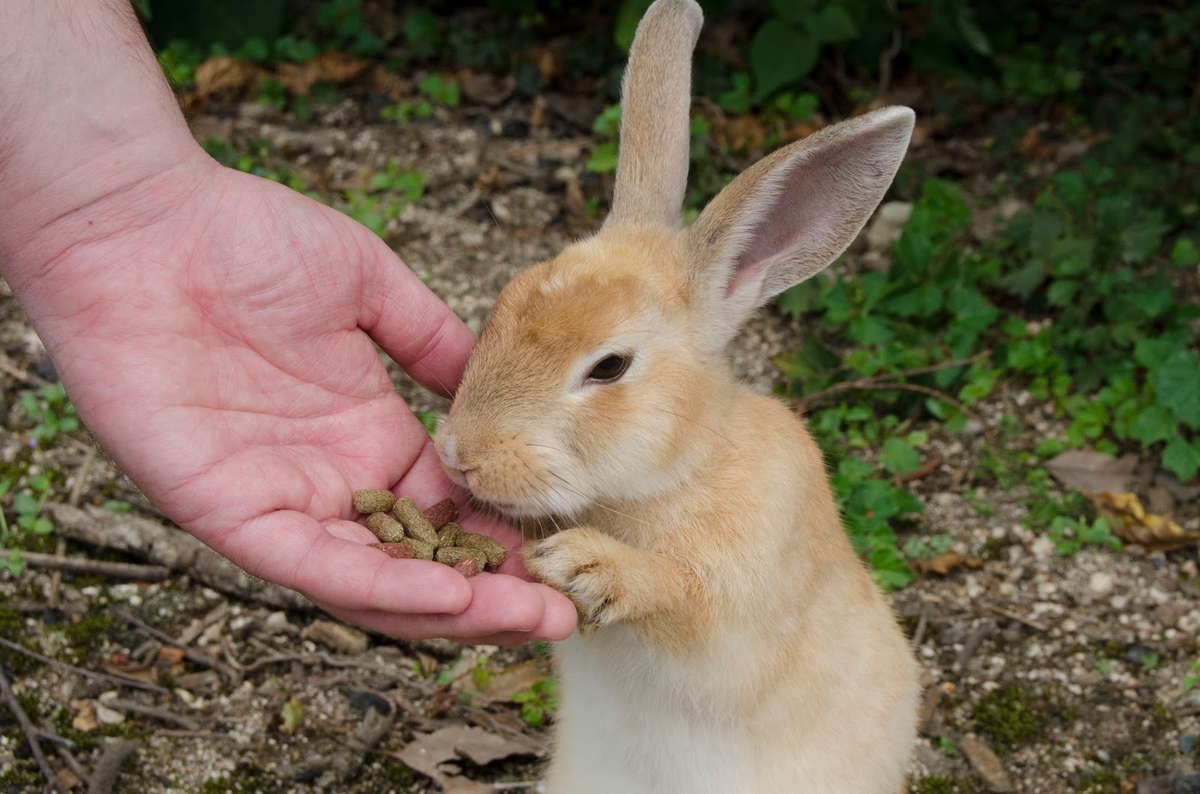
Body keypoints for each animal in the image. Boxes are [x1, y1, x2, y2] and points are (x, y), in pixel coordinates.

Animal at [434, 0, 916, 791]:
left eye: (609, 367)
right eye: (506, 297)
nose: (460, 455)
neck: (676, 471)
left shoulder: (735, 612)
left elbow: (686, 603)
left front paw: (587, 567)